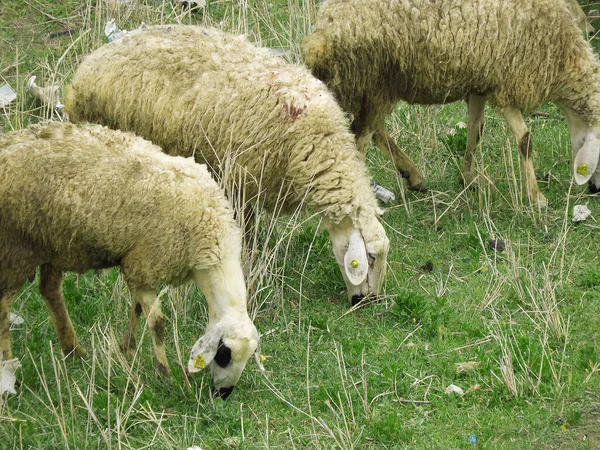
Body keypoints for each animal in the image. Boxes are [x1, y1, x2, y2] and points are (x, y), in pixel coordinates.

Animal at [1, 122, 262, 398]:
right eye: (224, 355)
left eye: (247, 359)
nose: (223, 394)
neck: (210, 235)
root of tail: (7, 145)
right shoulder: (145, 263)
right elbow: (156, 322)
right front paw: (164, 373)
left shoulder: (140, 264)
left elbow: (137, 308)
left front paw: (126, 349)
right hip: (17, 245)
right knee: (4, 303)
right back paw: (9, 368)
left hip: (51, 243)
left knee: (50, 289)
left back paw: (74, 352)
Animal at [65, 23, 392, 306]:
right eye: (369, 259)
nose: (369, 301)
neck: (317, 141)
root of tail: (88, 66)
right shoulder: (240, 180)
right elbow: (245, 233)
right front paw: (248, 266)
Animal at [302, 0, 600, 207]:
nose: (596, 190)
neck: (562, 58)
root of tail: (321, 34)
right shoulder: (504, 83)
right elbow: (525, 139)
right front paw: (537, 197)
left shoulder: (481, 83)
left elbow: (475, 129)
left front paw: (467, 178)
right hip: (373, 79)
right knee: (362, 137)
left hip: (375, 87)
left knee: (376, 132)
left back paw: (413, 176)